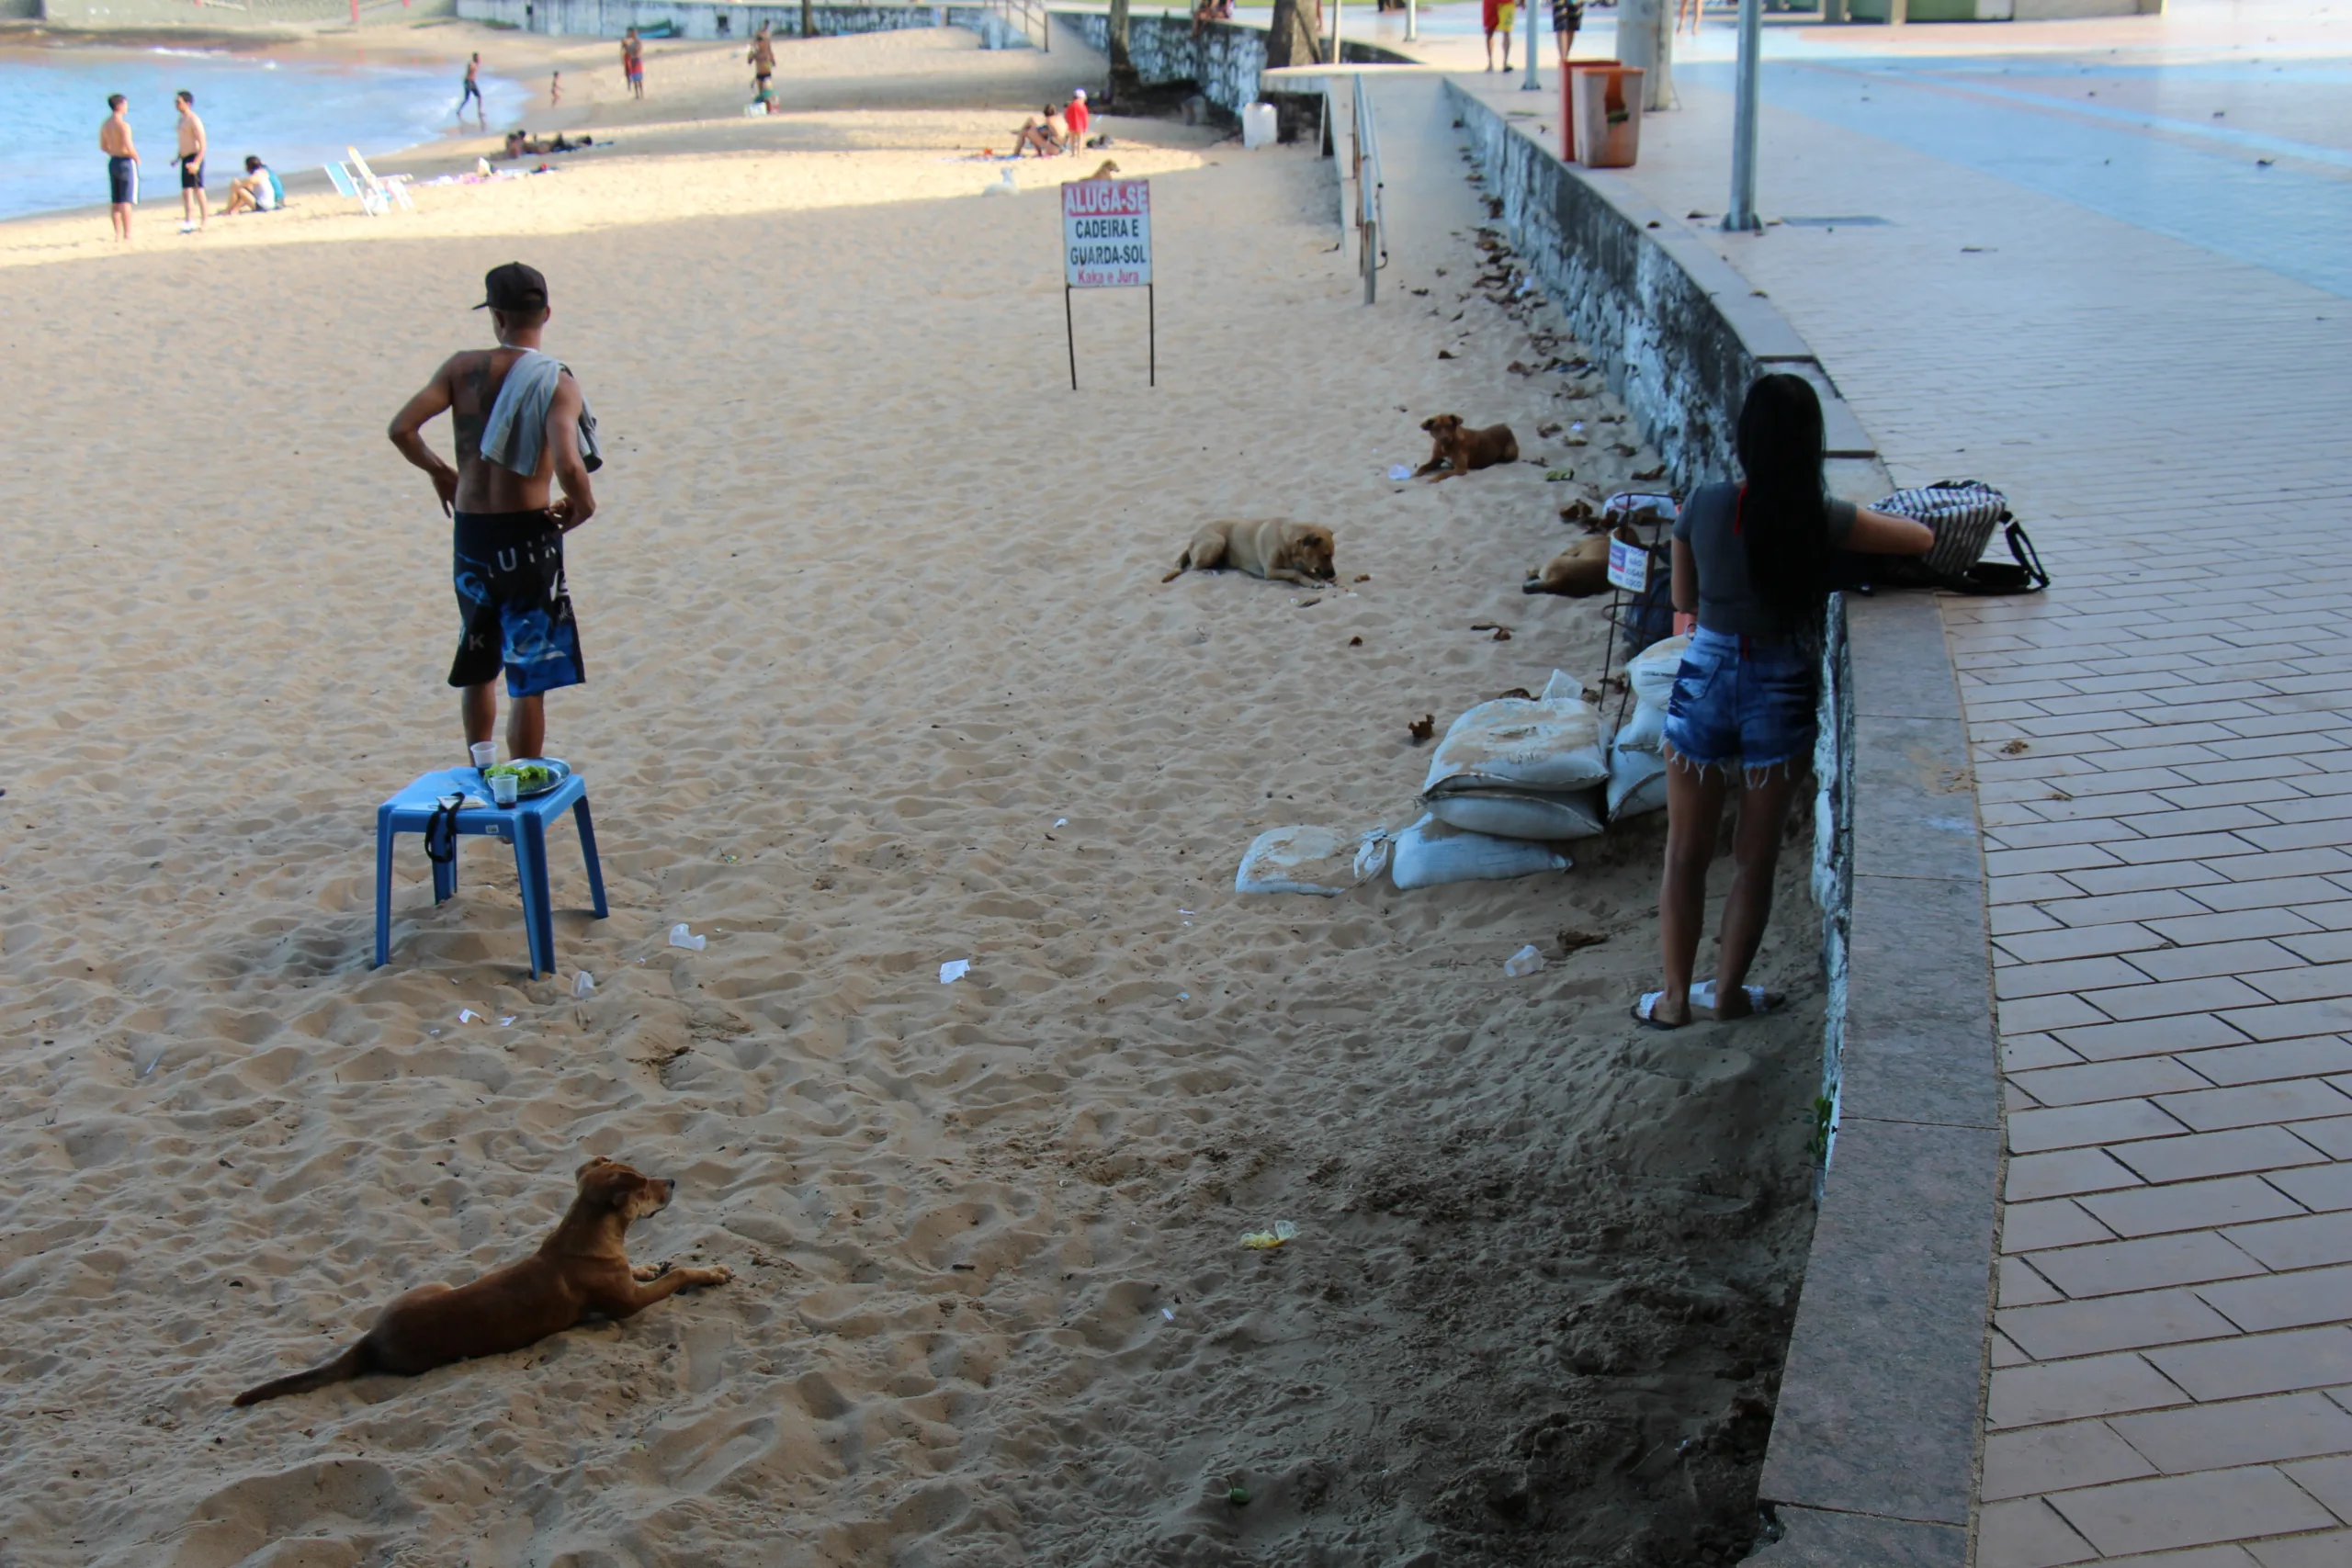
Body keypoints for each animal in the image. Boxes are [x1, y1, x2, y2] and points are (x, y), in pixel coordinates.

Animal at [232, 1152, 724, 1410]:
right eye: (643, 1185)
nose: (674, 1180)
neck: (585, 1235)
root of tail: (371, 1339)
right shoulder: (629, 1305)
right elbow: (678, 1274)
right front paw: (710, 1273)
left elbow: (647, 1268)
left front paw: (648, 1265)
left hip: (436, 1285)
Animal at [1161, 517, 1336, 585]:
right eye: (1326, 555)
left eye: (1332, 555)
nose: (1333, 575)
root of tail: (1193, 538)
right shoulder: (1270, 571)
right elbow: (1296, 573)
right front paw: (1312, 582)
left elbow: (1308, 572)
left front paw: (1319, 580)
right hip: (1217, 542)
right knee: (1194, 567)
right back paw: (1213, 571)